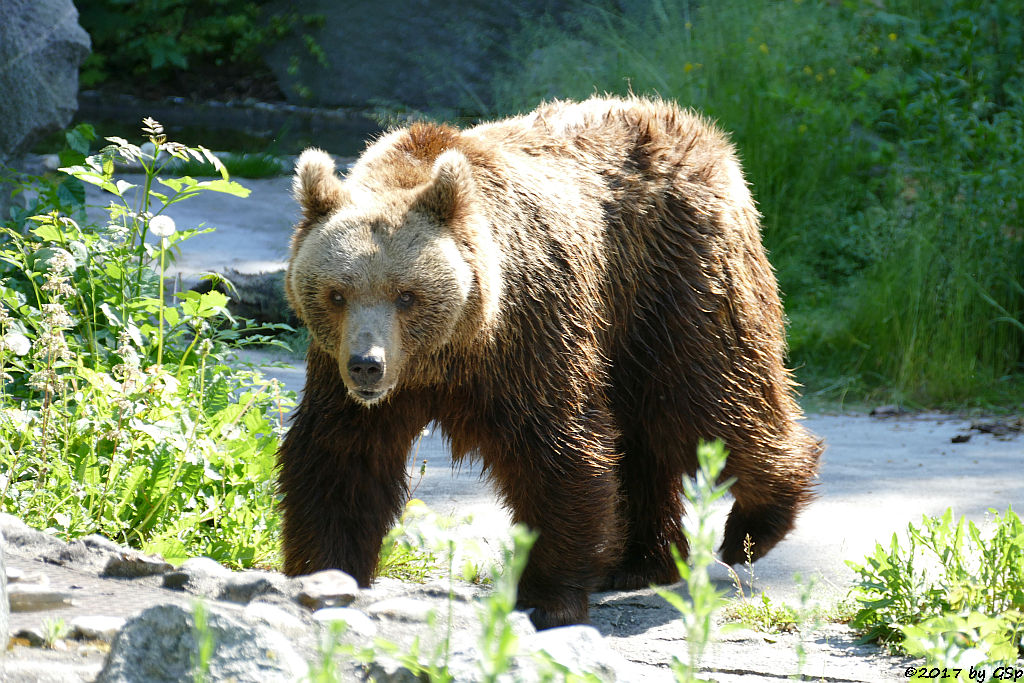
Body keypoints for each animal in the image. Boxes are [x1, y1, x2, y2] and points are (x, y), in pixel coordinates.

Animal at [278, 96, 823, 630]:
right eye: (337, 293)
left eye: (407, 295)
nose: (367, 365)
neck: (445, 355)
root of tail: (699, 128)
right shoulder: (341, 374)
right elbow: (339, 460)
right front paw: (324, 576)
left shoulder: (528, 336)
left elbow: (556, 452)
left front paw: (547, 598)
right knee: (649, 437)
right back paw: (639, 561)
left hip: (678, 284)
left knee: (715, 401)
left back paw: (752, 526)